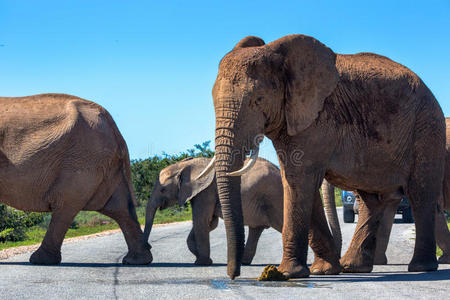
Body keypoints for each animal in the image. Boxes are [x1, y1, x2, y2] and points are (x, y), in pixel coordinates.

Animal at [0, 93, 152, 264]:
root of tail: (115, 128)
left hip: (82, 160)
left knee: (65, 205)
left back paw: (40, 260)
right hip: (101, 163)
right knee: (119, 207)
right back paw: (137, 260)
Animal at [142, 157, 342, 264]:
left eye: (162, 190)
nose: (149, 247)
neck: (185, 164)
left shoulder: (206, 192)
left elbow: (201, 221)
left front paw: (201, 263)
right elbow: (209, 223)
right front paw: (202, 258)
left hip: (275, 197)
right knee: (256, 229)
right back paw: (243, 262)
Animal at [199, 33, 444, 278]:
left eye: (258, 99)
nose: (234, 275)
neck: (277, 55)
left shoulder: (318, 119)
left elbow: (299, 182)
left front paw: (287, 274)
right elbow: (298, 183)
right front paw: (323, 271)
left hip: (426, 127)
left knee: (420, 194)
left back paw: (421, 267)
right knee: (370, 199)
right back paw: (352, 267)